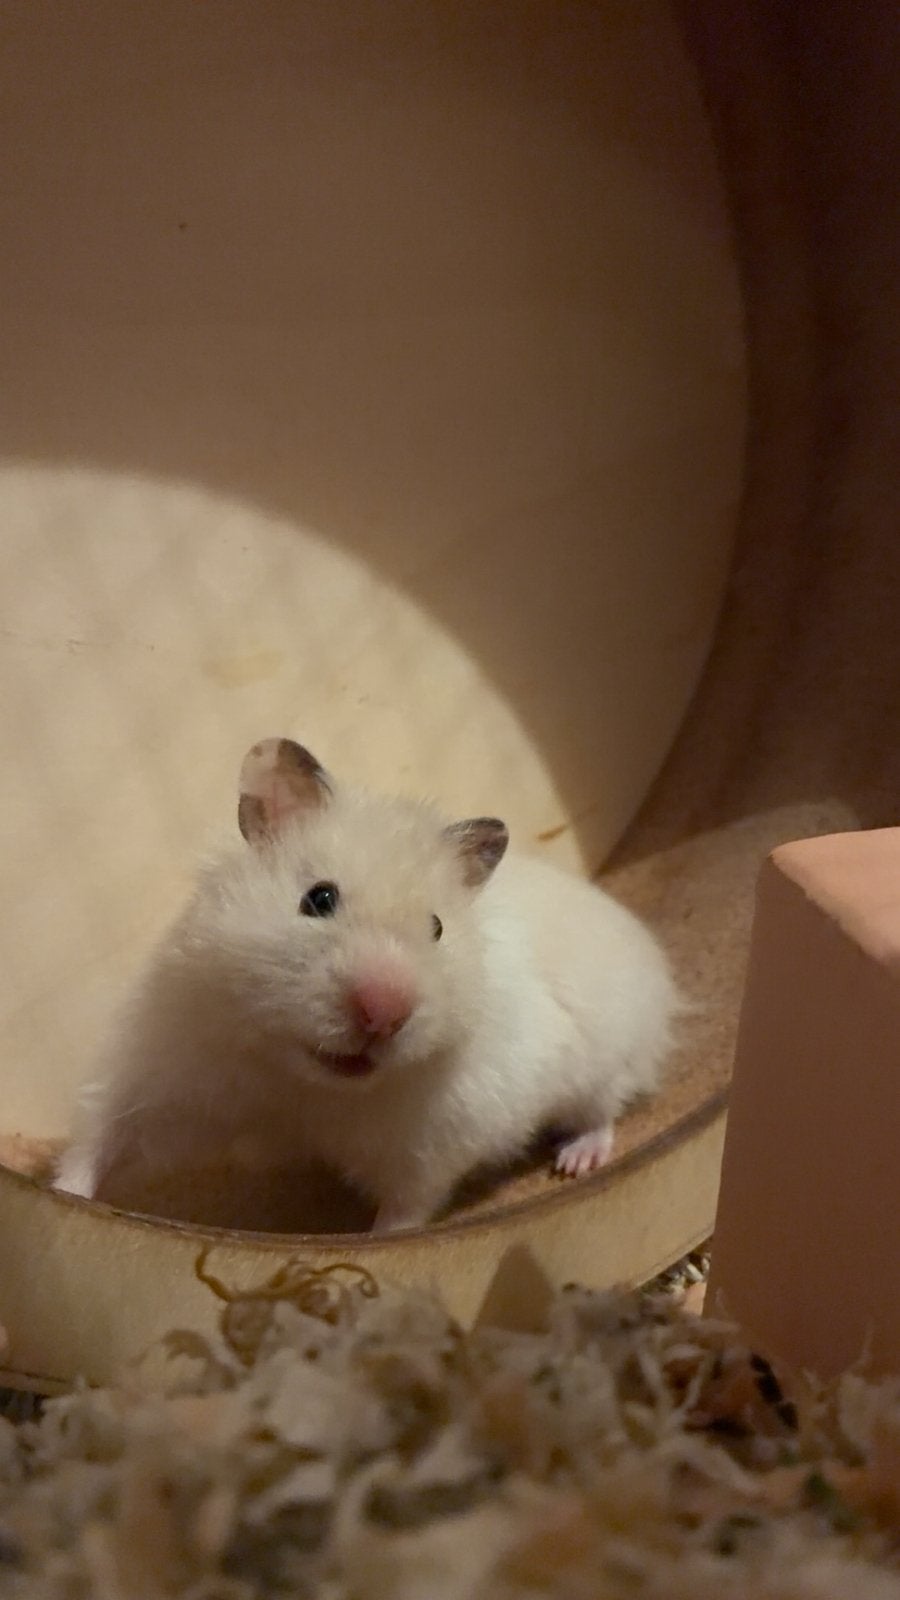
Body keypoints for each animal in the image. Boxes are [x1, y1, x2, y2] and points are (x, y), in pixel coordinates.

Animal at [54, 737, 681, 1233]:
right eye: (319, 899)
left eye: (437, 928)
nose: (385, 1014)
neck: (305, 1081)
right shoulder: (166, 1067)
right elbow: (101, 1136)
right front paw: (63, 1199)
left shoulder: (434, 1144)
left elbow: (407, 1207)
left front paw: (379, 1244)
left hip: (603, 1060)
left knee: (604, 1109)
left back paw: (577, 1161)